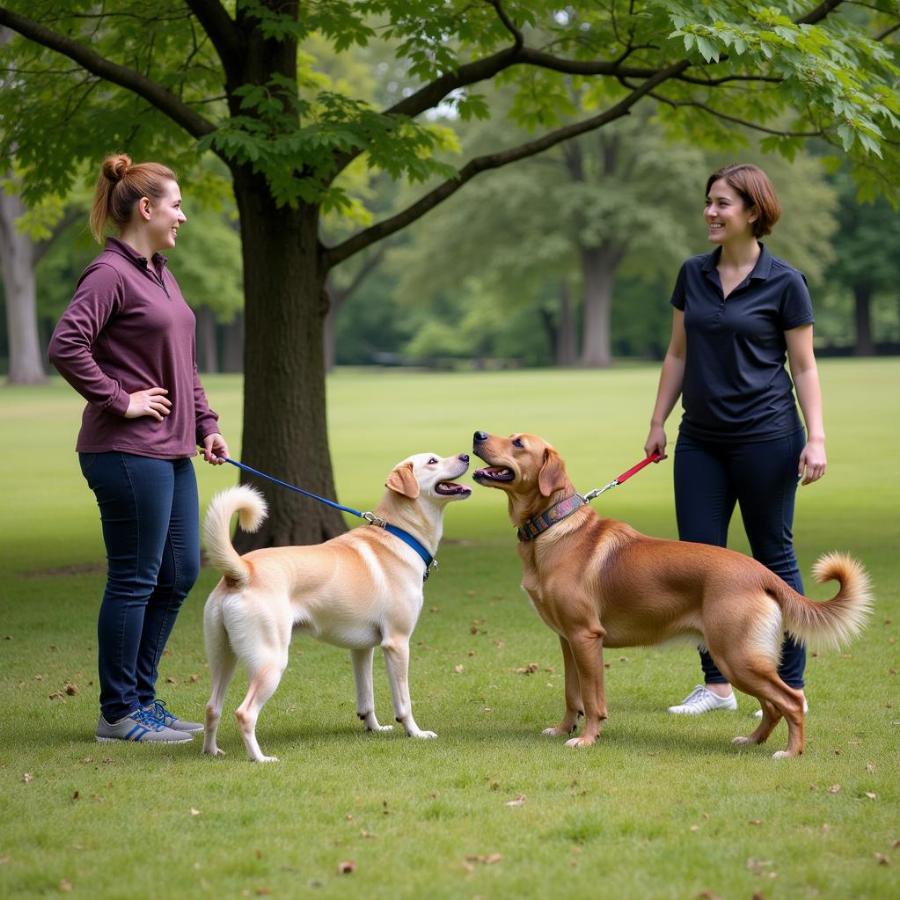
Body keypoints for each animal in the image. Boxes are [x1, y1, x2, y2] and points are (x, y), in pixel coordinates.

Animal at [202, 454, 472, 764]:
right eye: (432, 461)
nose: (466, 456)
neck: (400, 535)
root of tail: (242, 571)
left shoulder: (362, 649)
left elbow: (367, 697)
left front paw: (374, 728)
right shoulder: (397, 643)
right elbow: (404, 701)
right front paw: (415, 732)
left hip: (224, 657)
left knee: (212, 707)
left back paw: (211, 752)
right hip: (270, 661)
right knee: (244, 713)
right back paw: (260, 759)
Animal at [472, 432, 872, 756]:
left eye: (518, 442)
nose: (477, 434)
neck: (553, 528)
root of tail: (761, 573)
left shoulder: (586, 637)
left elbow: (592, 698)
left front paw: (586, 738)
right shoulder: (567, 640)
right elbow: (572, 694)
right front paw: (562, 729)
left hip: (737, 656)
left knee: (790, 700)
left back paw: (790, 752)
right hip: (740, 658)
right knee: (775, 706)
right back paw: (751, 740)